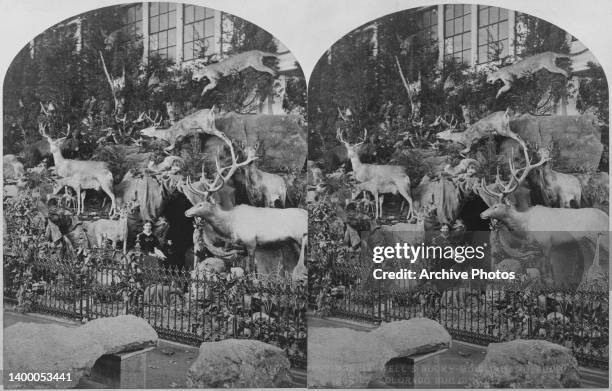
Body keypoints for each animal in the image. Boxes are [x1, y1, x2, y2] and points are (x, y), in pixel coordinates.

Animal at [182, 129, 306, 278]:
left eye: (201, 204)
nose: (186, 212)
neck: (230, 224)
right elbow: (248, 266)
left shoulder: (251, 240)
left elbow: (251, 267)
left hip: (299, 234)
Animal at [480, 138, 608, 282]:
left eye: (496, 206)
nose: (481, 214)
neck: (526, 226)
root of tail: (607, 217)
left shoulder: (546, 242)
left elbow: (547, 271)